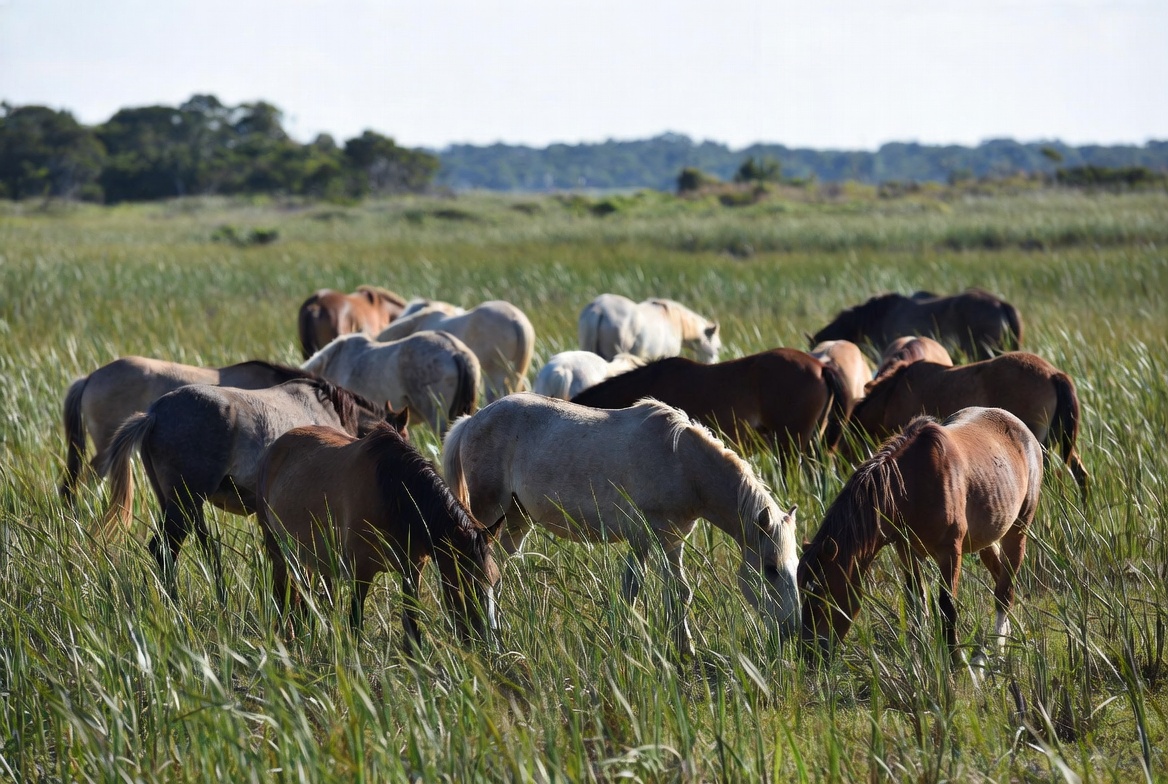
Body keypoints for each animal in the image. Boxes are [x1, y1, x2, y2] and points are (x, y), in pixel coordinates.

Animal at [256, 422, 501, 652]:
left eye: (495, 582)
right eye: (467, 582)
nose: (488, 643)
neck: (392, 495)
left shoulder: (412, 570)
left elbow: (412, 624)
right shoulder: (360, 572)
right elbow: (355, 623)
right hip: (278, 549)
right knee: (283, 594)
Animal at [442, 394, 801, 655]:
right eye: (771, 569)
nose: (792, 629)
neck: (683, 462)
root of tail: (472, 421)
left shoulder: (669, 541)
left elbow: (673, 592)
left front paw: (682, 649)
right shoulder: (650, 537)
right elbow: (644, 590)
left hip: (516, 521)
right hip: (489, 513)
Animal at [799, 407, 1043, 665]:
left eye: (822, 593)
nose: (808, 653)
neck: (911, 485)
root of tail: (1021, 428)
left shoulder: (950, 552)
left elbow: (947, 606)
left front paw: (955, 661)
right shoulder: (907, 551)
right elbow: (917, 601)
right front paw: (920, 655)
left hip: (1017, 531)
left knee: (1004, 594)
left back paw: (997, 651)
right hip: (988, 537)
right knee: (1001, 578)